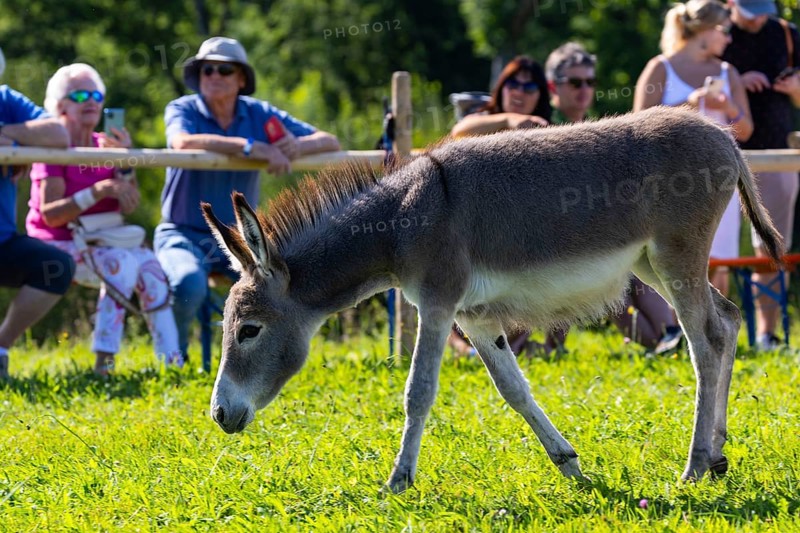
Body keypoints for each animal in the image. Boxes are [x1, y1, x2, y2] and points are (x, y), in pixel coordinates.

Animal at [201, 106, 782, 493]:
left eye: (248, 330)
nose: (219, 416)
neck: (402, 220)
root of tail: (725, 137)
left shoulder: (436, 305)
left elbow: (418, 392)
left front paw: (398, 481)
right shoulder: (475, 320)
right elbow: (515, 391)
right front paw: (570, 465)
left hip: (676, 258)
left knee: (705, 342)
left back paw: (696, 465)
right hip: (651, 265)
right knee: (730, 320)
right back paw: (720, 455)